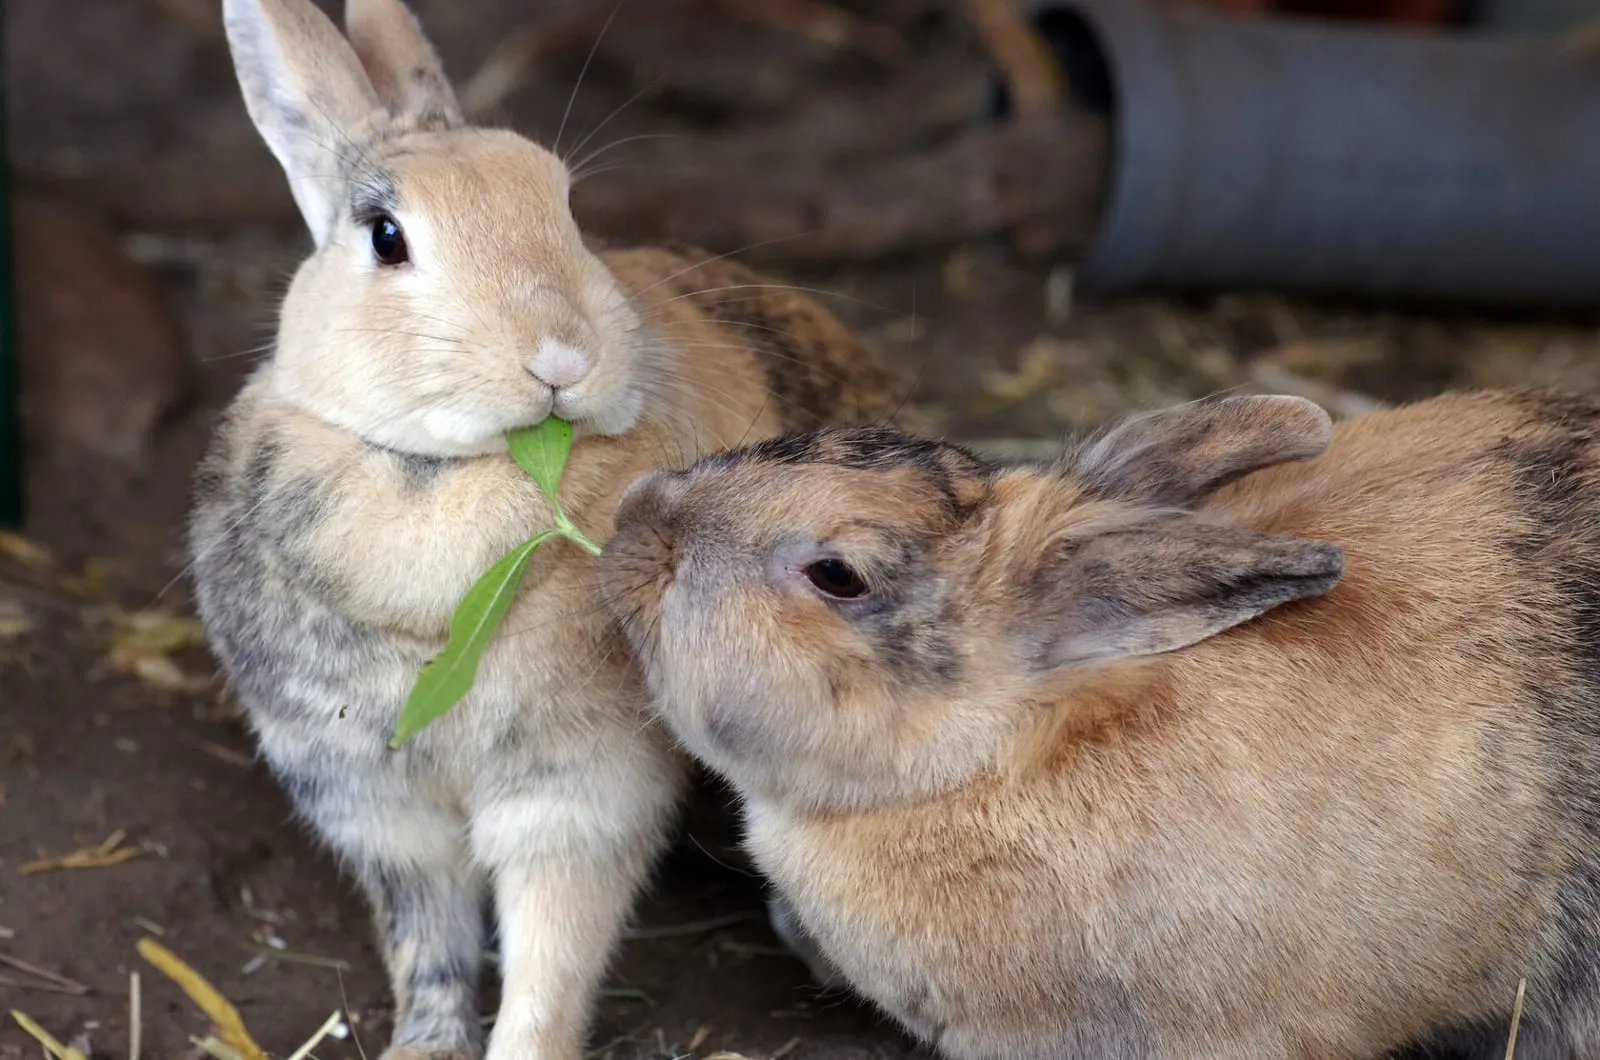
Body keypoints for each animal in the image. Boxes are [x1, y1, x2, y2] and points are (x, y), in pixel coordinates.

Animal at [186, 1, 919, 1058]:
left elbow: (550, 960)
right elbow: (430, 945)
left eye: (565, 209)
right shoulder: (375, 802)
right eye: (385, 235)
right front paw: (423, 1045)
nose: (561, 356)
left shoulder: (575, 795)